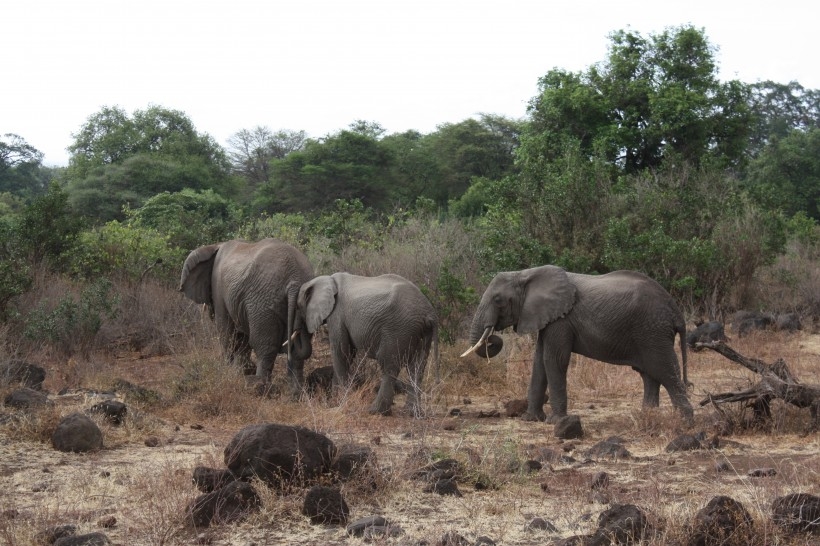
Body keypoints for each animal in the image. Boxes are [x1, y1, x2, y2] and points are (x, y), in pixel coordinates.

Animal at [179, 238, 314, 392]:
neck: (216, 246)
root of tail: (294, 284)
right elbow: (242, 337)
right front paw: (240, 371)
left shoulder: (218, 288)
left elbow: (226, 331)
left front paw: (227, 371)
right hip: (303, 305)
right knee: (296, 351)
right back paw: (296, 393)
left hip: (262, 303)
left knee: (264, 347)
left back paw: (260, 387)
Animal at [294, 270, 438, 414]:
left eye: (298, 307)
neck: (327, 279)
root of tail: (429, 313)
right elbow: (349, 354)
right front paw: (334, 401)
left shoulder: (337, 315)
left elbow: (341, 352)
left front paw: (338, 403)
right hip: (421, 331)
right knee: (417, 367)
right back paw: (411, 412)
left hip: (398, 329)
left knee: (390, 365)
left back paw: (376, 411)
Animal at [462, 264, 692, 420]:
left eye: (498, 300)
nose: (493, 337)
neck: (525, 274)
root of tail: (675, 311)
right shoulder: (549, 318)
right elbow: (539, 361)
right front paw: (531, 419)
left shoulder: (562, 319)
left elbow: (554, 360)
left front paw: (556, 421)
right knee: (650, 374)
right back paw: (648, 416)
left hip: (652, 331)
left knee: (664, 369)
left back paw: (684, 421)